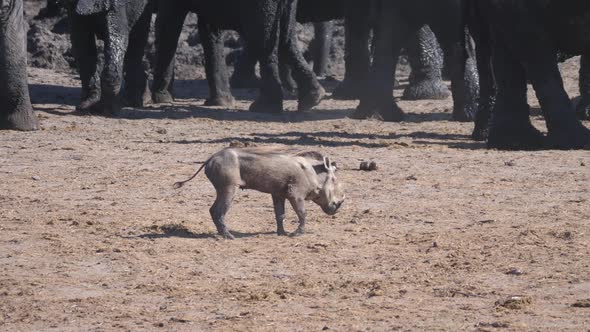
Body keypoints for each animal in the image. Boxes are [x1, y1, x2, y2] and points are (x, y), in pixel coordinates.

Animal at [153, 0, 326, 113]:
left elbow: (167, 23)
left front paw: (162, 99)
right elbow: (209, 26)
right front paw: (222, 102)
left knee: (263, 37)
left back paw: (264, 107)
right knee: (286, 35)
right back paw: (312, 98)